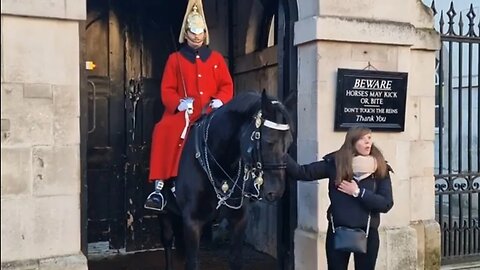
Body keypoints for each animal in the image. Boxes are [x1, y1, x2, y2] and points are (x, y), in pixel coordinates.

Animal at [160, 90, 292, 270]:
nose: (276, 192)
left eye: (290, 142)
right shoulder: (192, 222)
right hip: (166, 214)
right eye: (268, 141)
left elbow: (236, 260)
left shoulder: (239, 220)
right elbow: (193, 262)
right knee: (167, 243)